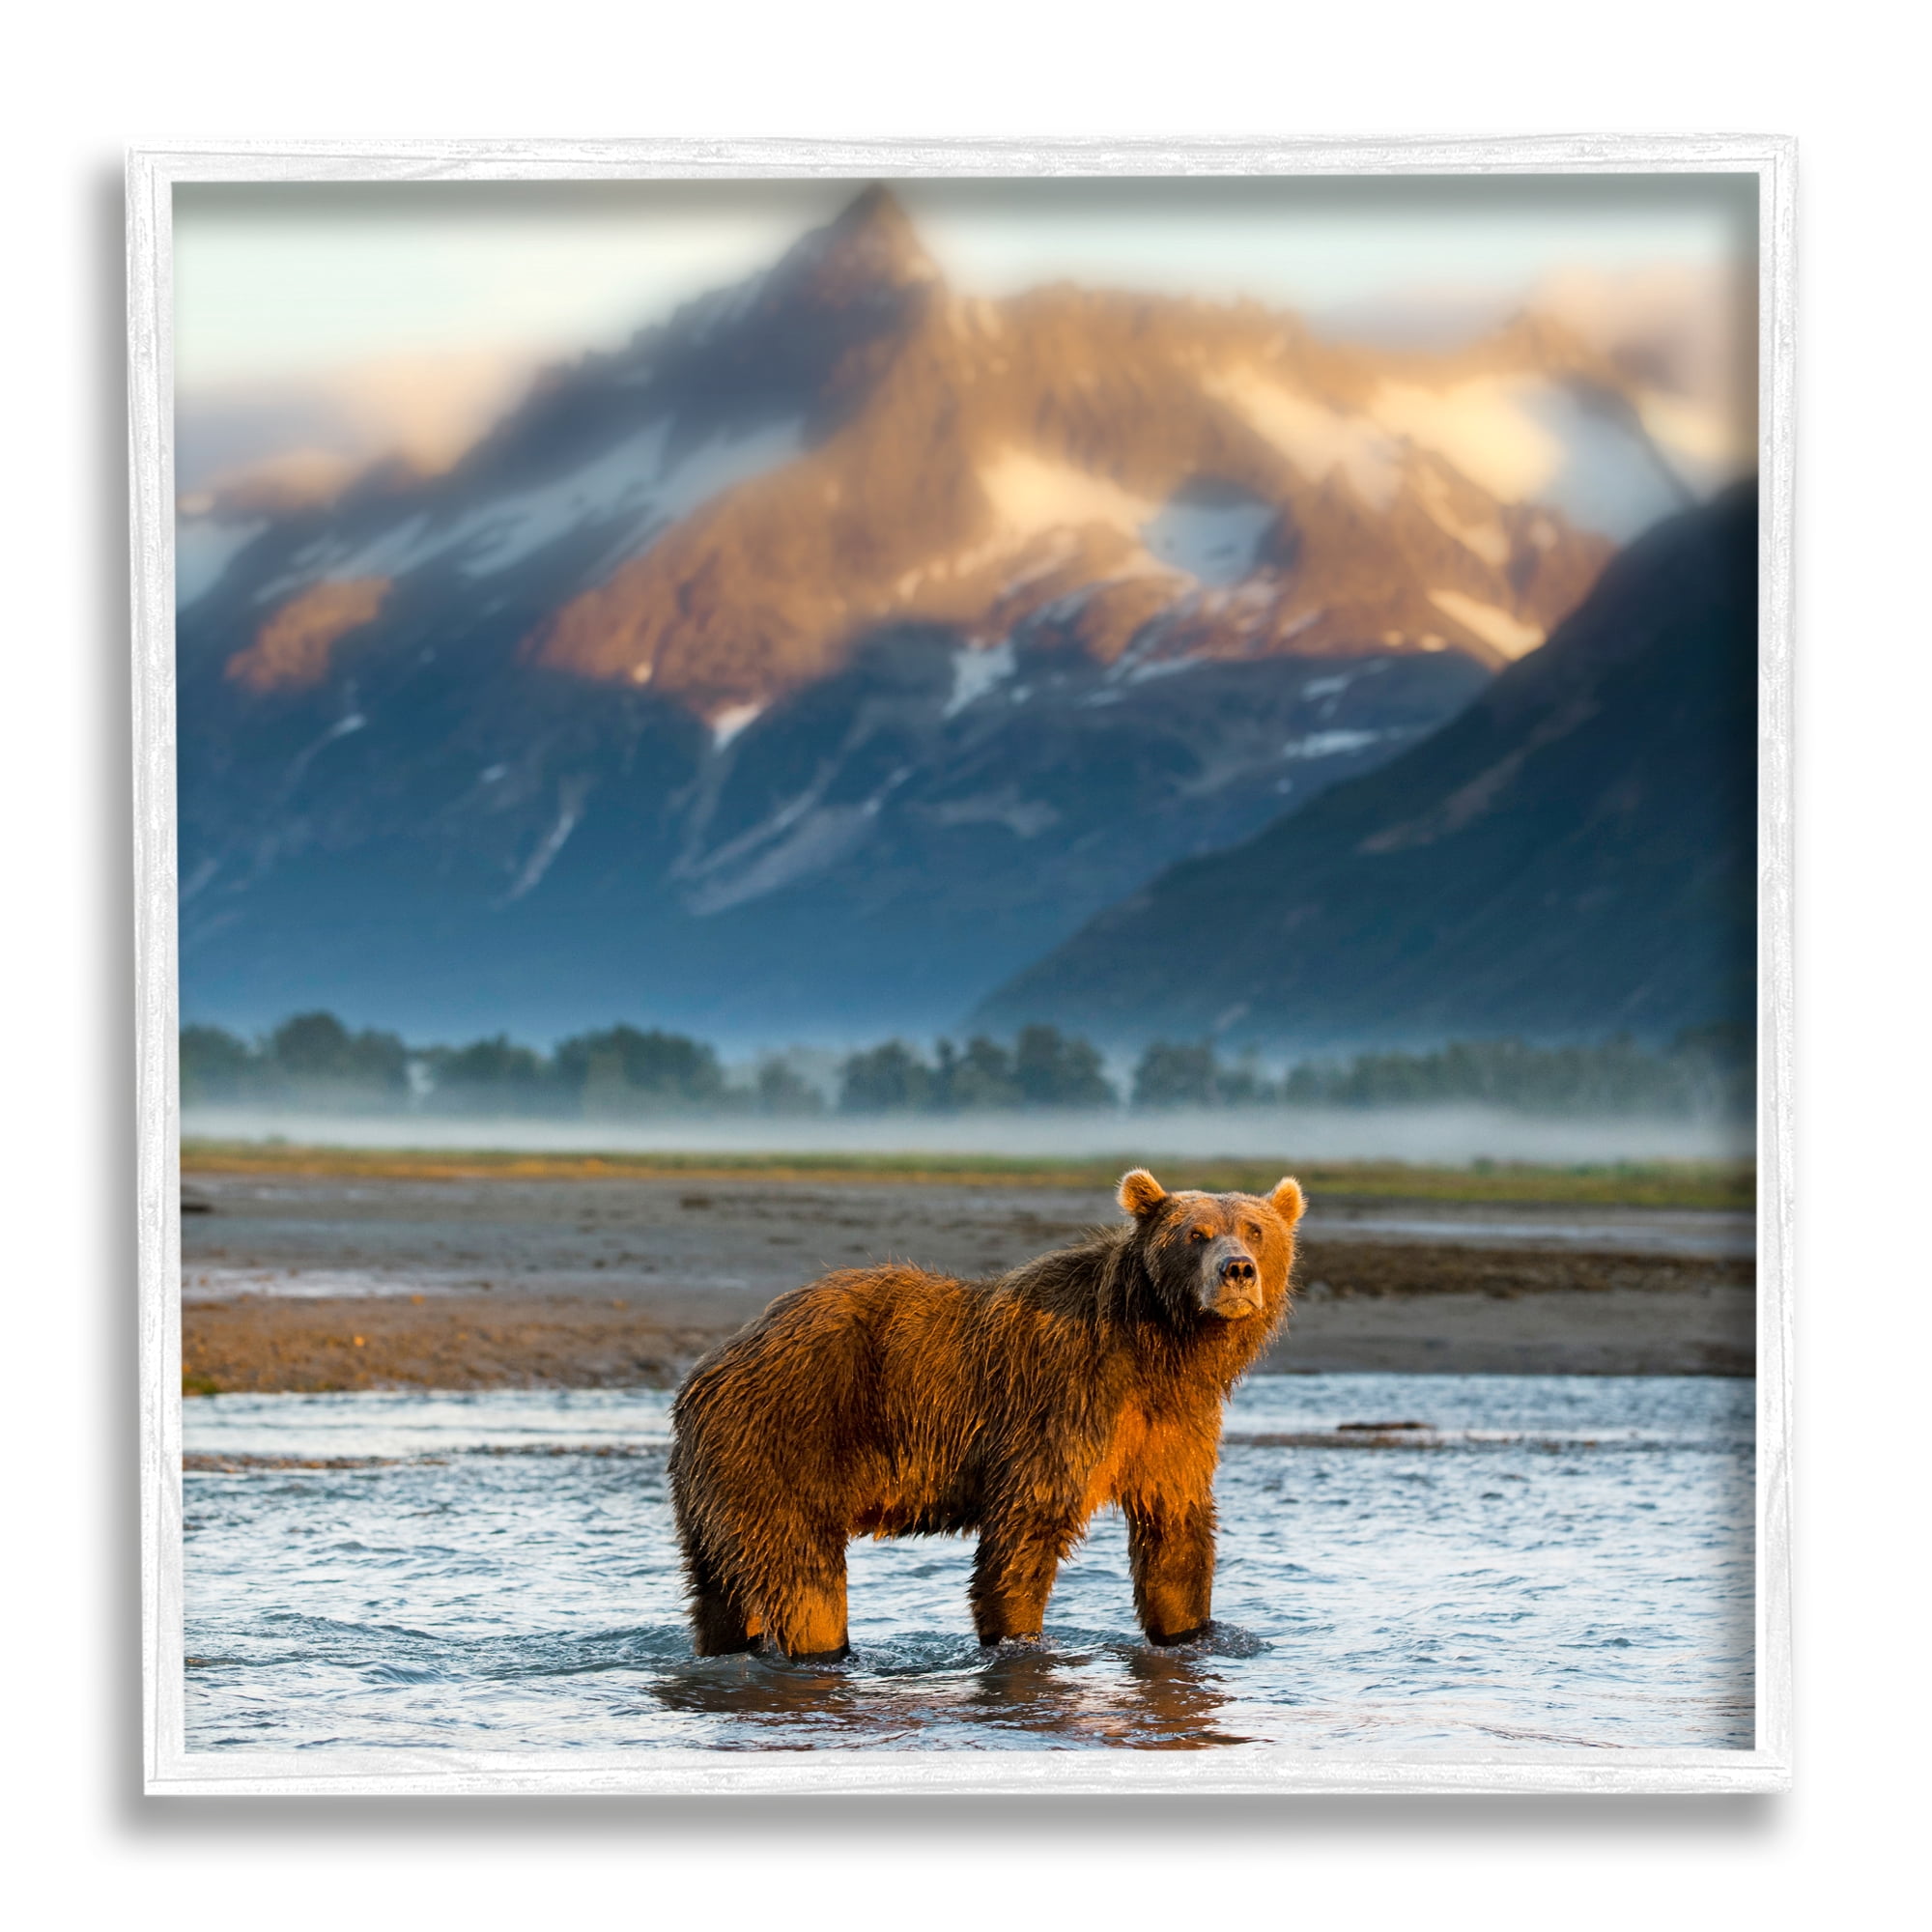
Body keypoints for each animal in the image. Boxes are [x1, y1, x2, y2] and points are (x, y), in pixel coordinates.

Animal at [667, 1167, 1304, 1659]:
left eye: (1255, 1229)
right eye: (1196, 1234)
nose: (1237, 1269)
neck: (1162, 1347)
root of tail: (707, 1368)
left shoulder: (1172, 1423)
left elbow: (1175, 1529)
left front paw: (1191, 1635)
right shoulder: (1063, 1400)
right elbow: (1027, 1529)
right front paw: (1019, 1641)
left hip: (715, 1487)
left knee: (718, 1589)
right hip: (788, 1441)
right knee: (804, 1581)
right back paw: (823, 1652)